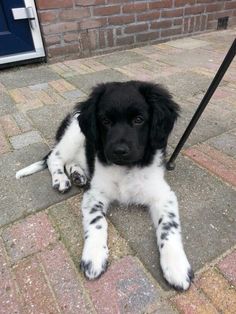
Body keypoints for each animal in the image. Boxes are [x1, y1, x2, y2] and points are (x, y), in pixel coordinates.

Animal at [16, 80, 194, 290]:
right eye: (105, 121)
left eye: (139, 119)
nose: (119, 151)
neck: (126, 169)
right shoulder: (94, 194)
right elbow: (97, 222)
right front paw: (94, 256)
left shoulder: (163, 194)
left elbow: (168, 226)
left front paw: (176, 266)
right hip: (72, 135)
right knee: (55, 157)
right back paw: (61, 179)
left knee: (71, 161)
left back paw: (78, 174)